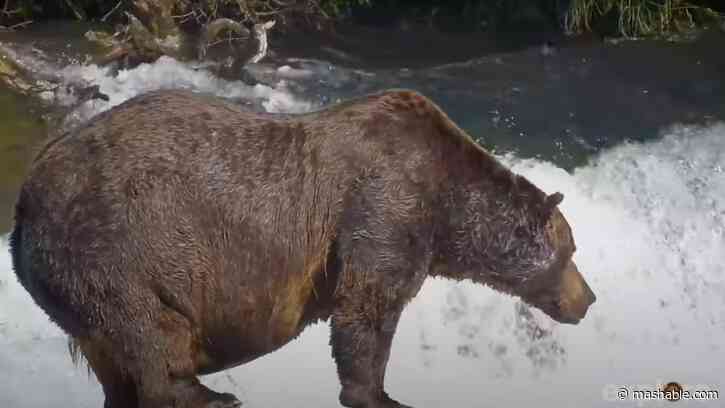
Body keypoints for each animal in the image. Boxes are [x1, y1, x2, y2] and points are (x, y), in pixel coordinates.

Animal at [9, 89, 595, 408]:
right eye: (571, 252)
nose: (587, 300)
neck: (446, 204)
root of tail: (23, 202)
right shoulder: (385, 203)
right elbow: (367, 309)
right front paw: (379, 392)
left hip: (71, 284)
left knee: (113, 355)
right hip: (112, 244)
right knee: (148, 330)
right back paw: (207, 391)